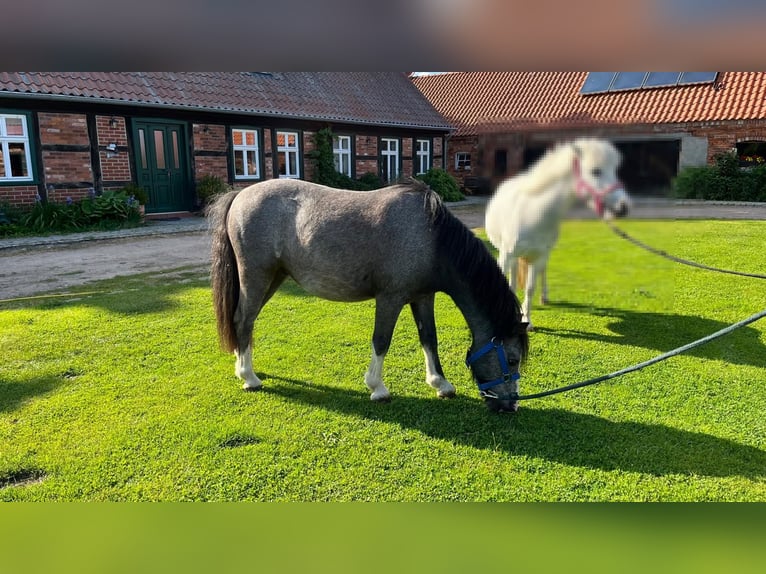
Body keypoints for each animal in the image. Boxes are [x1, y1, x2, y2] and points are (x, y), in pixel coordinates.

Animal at [208, 178, 529, 413]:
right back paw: (249, 377)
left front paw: (441, 384)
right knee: (244, 319)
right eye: (512, 360)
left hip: (273, 278)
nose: (510, 407)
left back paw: (243, 367)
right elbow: (381, 340)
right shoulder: (390, 298)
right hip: (256, 276)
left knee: (243, 321)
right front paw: (377, 388)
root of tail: (240, 194)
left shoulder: (423, 297)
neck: (430, 238)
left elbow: (429, 339)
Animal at [485, 138, 632, 331]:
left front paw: (527, 320)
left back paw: (544, 297)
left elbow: (530, 288)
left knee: (541, 272)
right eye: (595, 171)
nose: (623, 207)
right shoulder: (506, 254)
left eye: (615, 170)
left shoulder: (538, 257)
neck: (531, 214)